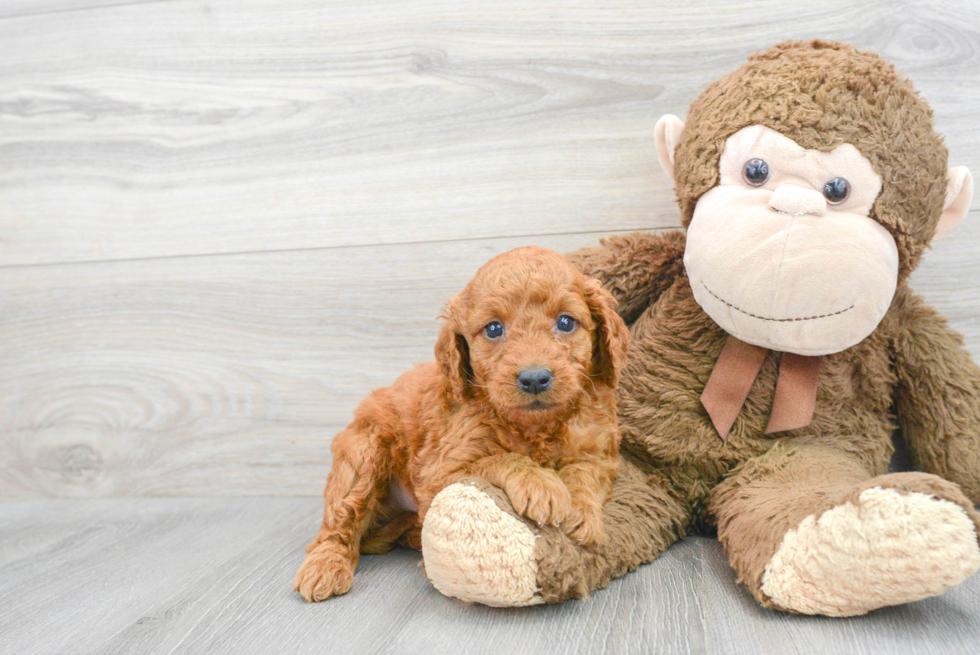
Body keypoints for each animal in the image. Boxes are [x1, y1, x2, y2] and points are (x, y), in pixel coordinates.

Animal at [294, 245, 628, 600]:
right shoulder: (440, 469)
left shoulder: (598, 451)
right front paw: (541, 485)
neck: (535, 426)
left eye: (566, 322)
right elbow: (500, 458)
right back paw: (326, 566)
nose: (535, 378)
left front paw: (579, 510)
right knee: (340, 520)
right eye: (494, 329)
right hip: (363, 452)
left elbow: (584, 472)